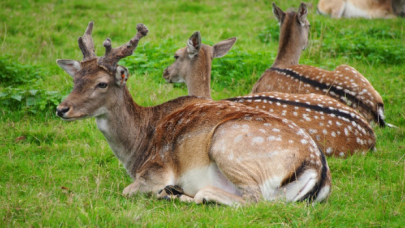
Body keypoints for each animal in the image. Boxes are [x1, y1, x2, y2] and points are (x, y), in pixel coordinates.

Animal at [55, 22, 330, 206]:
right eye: (75, 79)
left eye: (102, 83)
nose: (61, 108)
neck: (137, 147)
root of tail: (318, 170)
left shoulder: (157, 169)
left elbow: (127, 191)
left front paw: (167, 190)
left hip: (227, 145)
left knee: (253, 199)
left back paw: (186, 194)